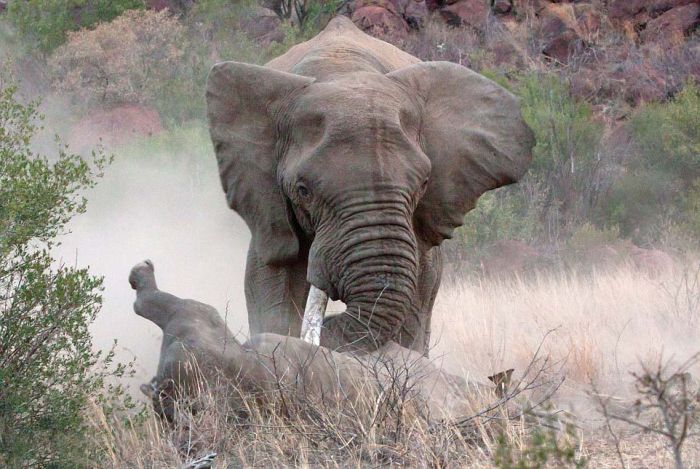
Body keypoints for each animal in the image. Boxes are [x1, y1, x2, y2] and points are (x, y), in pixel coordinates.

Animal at [205, 16, 532, 356]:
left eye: (424, 183)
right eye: (303, 190)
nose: (330, 325)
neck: (343, 71)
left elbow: (418, 294)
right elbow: (272, 280)